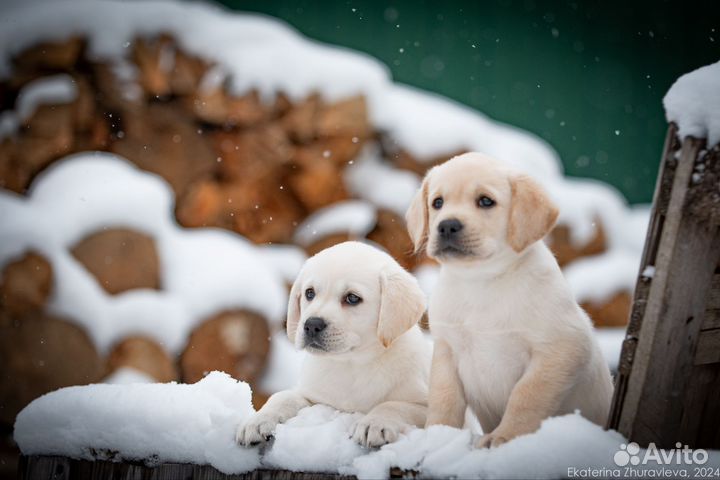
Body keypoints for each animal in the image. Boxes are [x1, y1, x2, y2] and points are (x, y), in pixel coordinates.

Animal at [236, 242, 430, 448]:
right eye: (309, 293)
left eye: (352, 298)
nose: (311, 325)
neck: (352, 364)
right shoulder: (314, 397)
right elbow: (283, 397)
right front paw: (257, 420)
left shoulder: (427, 407)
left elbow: (393, 405)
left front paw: (373, 423)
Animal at [404, 153, 612, 446]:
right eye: (437, 203)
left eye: (485, 201)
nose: (446, 225)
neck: (482, 282)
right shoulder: (446, 349)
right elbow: (444, 397)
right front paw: (437, 433)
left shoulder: (561, 349)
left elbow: (525, 396)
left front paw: (504, 437)